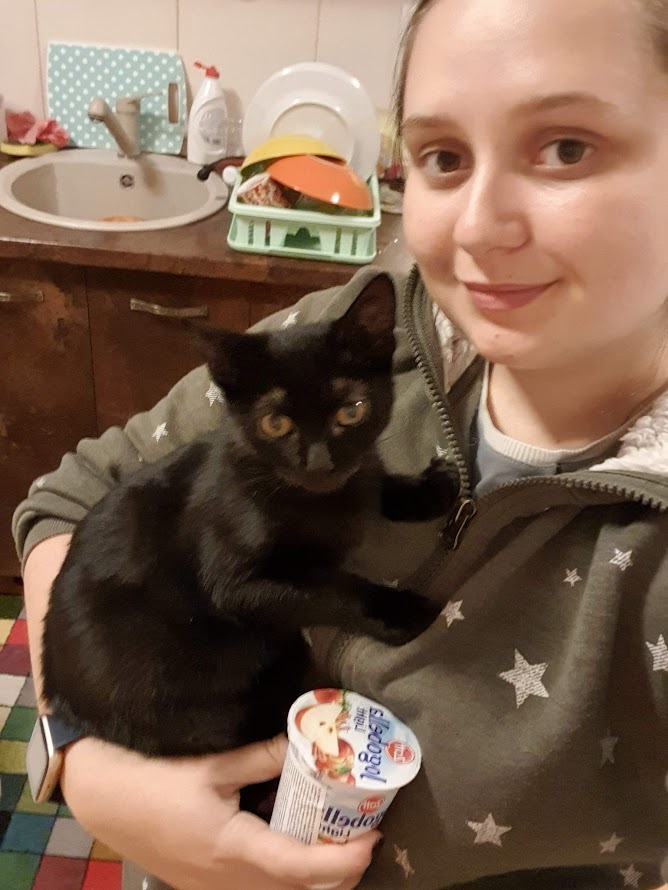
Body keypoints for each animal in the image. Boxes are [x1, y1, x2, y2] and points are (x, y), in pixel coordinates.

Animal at [42, 274, 451, 772]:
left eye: (351, 410)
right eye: (275, 423)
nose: (318, 464)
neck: (319, 502)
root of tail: (61, 697)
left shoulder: (357, 475)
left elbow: (372, 479)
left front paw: (430, 489)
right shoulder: (235, 583)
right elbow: (331, 589)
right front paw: (398, 610)